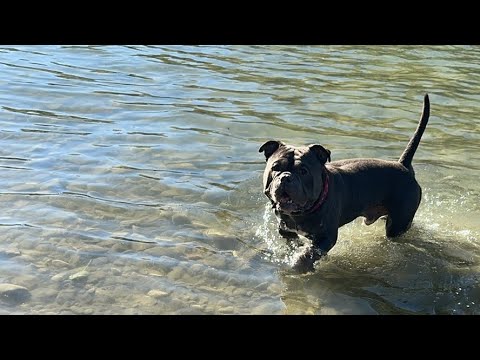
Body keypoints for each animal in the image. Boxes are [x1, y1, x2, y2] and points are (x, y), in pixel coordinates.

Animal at [258, 94, 432, 272]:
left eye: (303, 171)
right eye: (275, 167)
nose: (286, 177)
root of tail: (403, 165)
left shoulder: (326, 238)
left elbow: (308, 254)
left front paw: (299, 265)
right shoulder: (286, 231)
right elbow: (295, 246)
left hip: (397, 224)